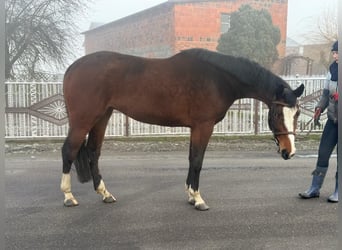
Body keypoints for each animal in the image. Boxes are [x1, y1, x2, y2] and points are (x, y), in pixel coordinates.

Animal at [60, 47, 304, 210]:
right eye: (276, 114)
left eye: (298, 114)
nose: (289, 151)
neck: (218, 78)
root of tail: (72, 68)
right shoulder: (203, 126)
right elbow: (197, 161)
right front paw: (198, 199)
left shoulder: (194, 127)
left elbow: (191, 158)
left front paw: (190, 194)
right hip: (83, 120)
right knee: (69, 151)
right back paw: (68, 196)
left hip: (102, 116)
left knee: (93, 152)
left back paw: (105, 194)